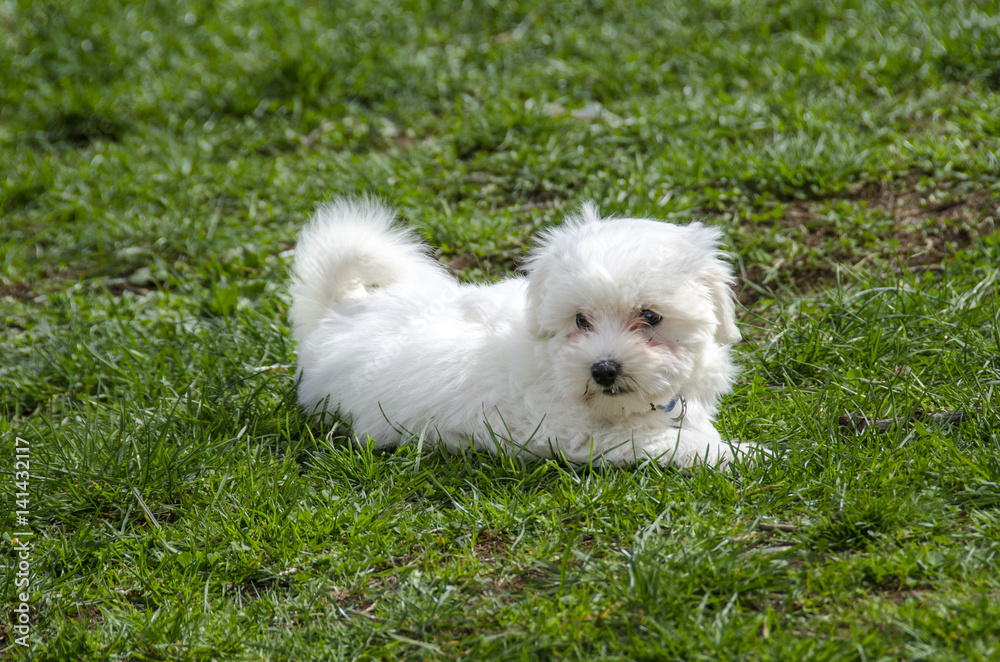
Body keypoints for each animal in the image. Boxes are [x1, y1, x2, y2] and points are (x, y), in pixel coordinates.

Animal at [290, 200, 752, 470]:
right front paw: (747, 456)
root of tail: (342, 309)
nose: (603, 369)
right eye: (580, 320)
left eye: (651, 317)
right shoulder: (583, 434)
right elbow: (669, 441)